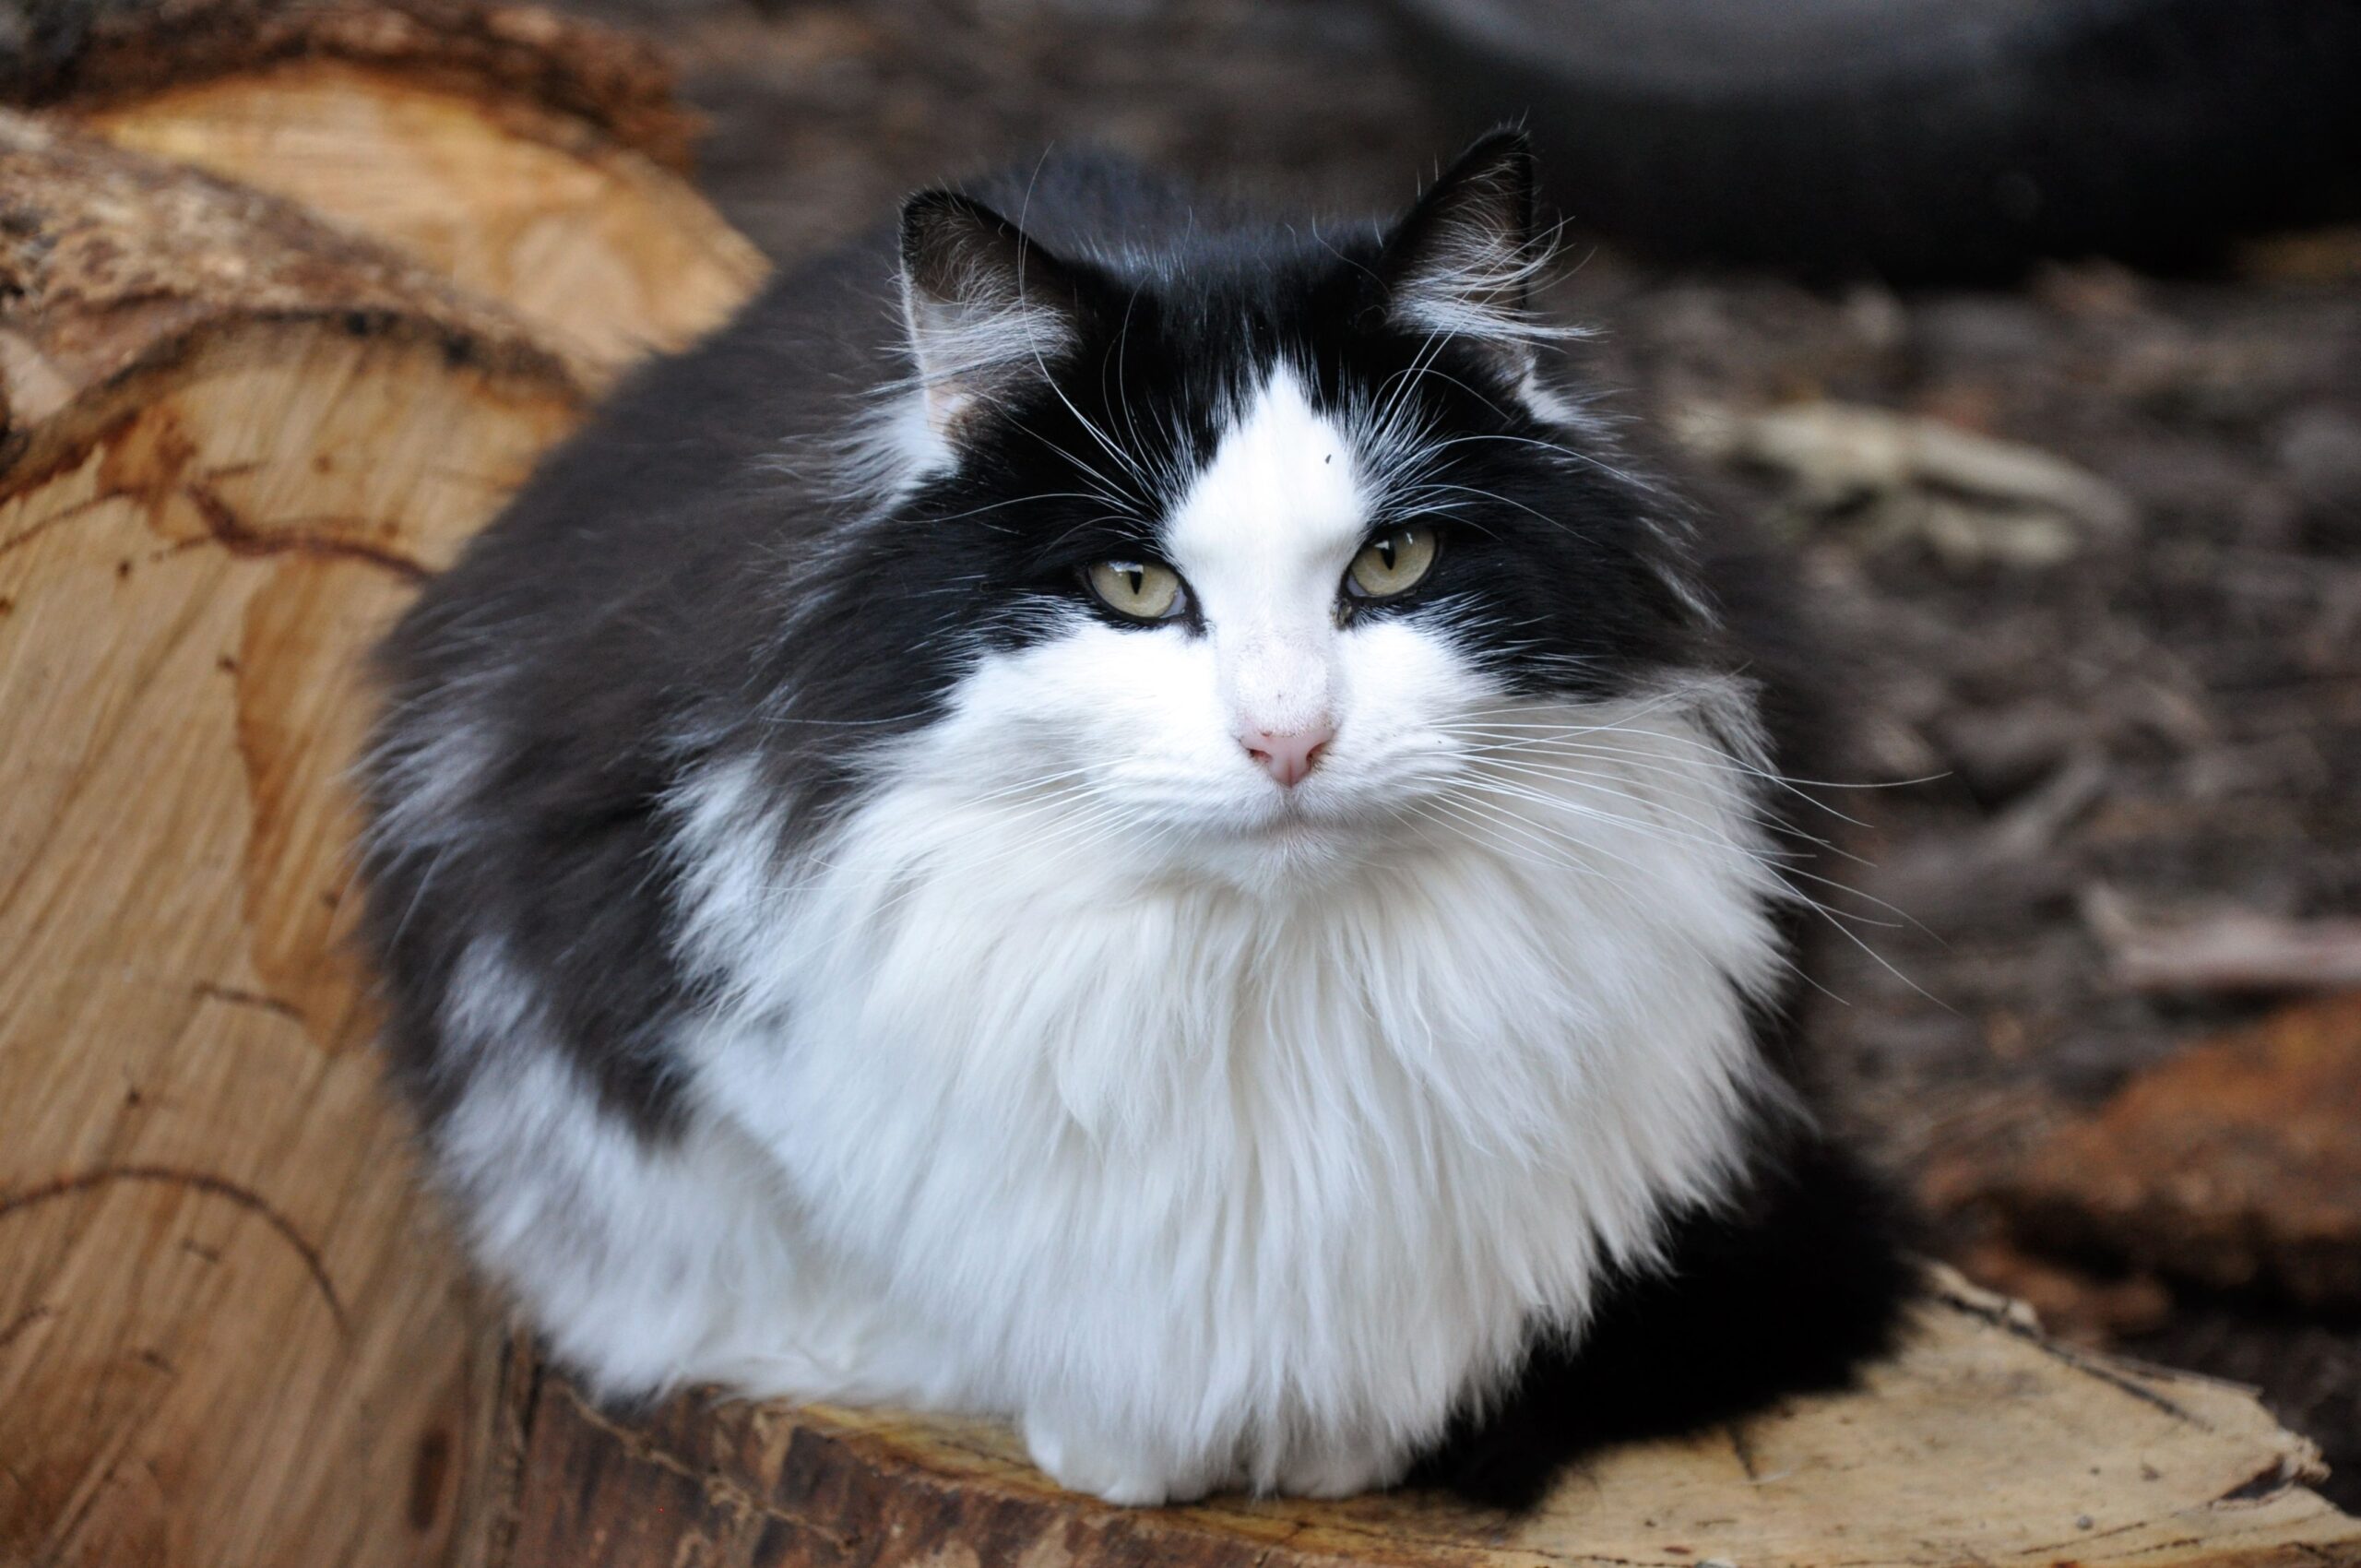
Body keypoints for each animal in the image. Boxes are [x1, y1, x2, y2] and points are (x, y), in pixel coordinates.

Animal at [363, 131, 1916, 1511]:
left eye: (1393, 563)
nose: (1288, 738)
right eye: (1133, 588)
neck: (1272, 981)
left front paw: (1331, 1450)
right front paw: (1119, 1443)